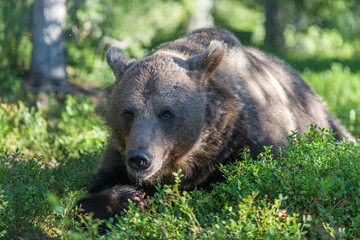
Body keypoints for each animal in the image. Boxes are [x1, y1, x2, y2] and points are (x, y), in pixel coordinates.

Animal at [77, 27, 352, 220]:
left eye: (166, 113)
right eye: (128, 113)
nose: (140, 158)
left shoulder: (254, 139)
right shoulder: (118, 153)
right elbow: (92, 192)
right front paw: (127, 197)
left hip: (323, 123)